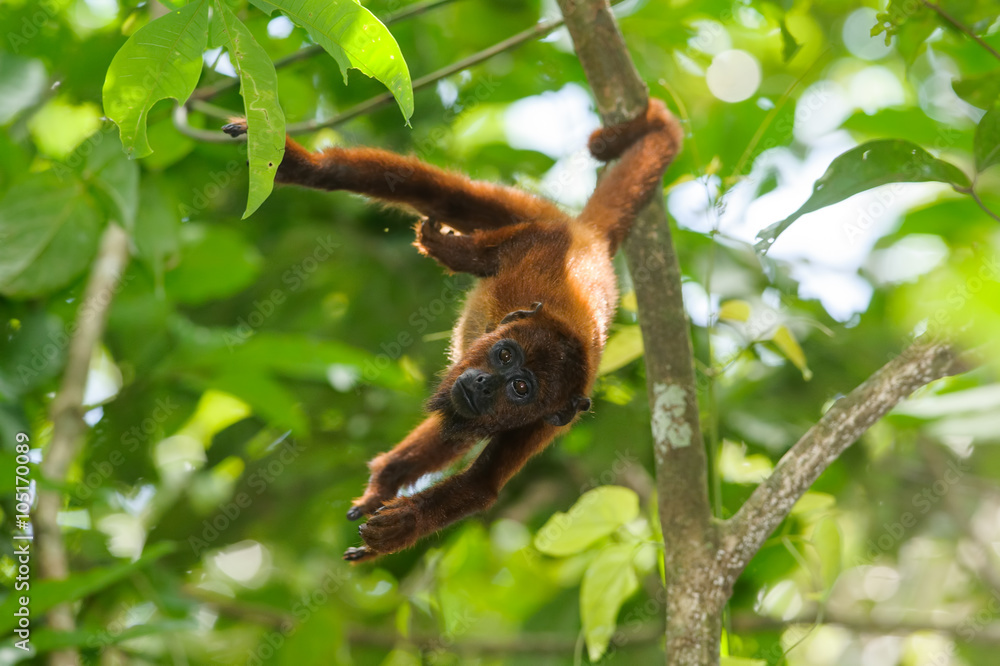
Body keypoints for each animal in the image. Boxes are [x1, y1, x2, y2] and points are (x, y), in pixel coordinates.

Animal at [222, 97, 682, 561]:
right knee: (441, 193)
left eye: (521, 388)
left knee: (454, 427)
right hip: (539, 216)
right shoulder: (537, 242)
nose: (483, 383)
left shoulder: (548, 421)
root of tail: (593, 242)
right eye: (504, 355)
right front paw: (458, 252)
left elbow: (480, 485)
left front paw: (403, 526)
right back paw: (308, 168)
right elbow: (487, 232)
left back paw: (388, 477)